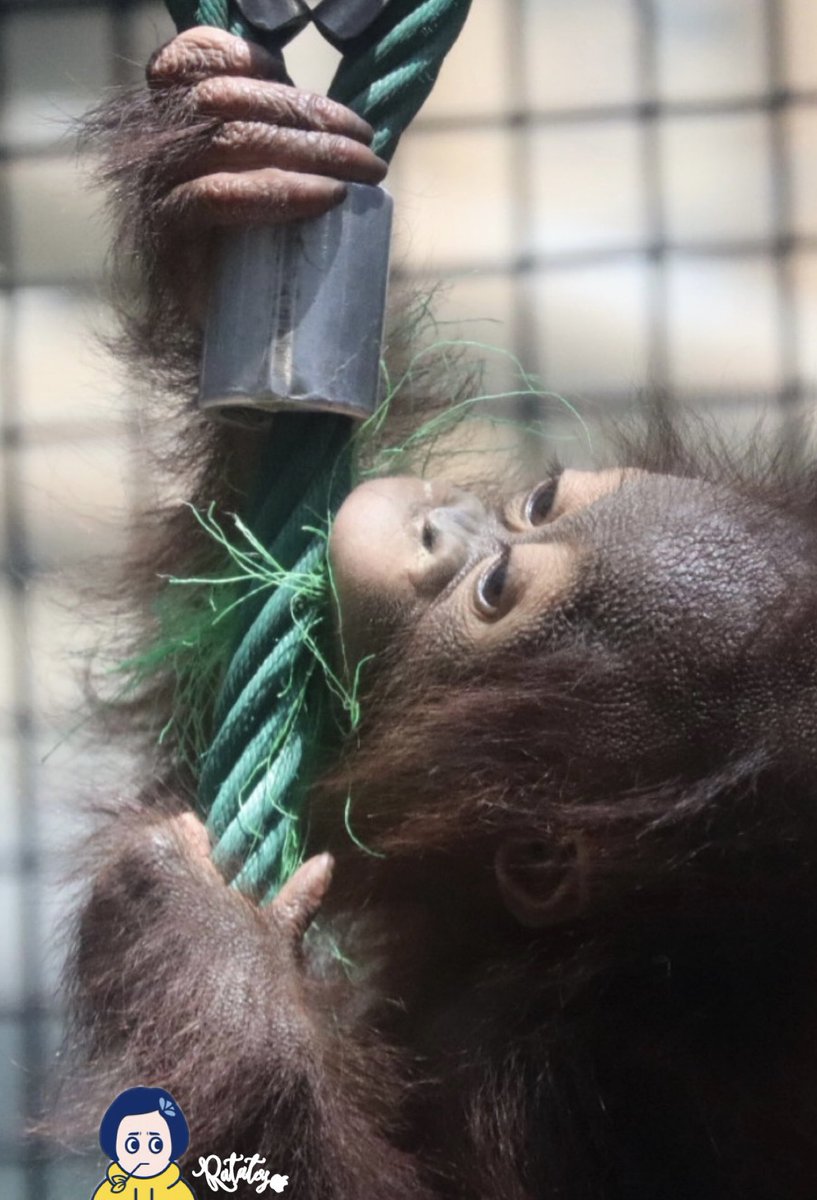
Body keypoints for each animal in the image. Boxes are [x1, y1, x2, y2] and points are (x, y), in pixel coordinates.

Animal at [63, 24, 817, 1200]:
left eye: (492, 593)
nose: (439, 525)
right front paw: (229, 163)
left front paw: (210, 957)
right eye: (541, 501)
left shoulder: (543, 1078)